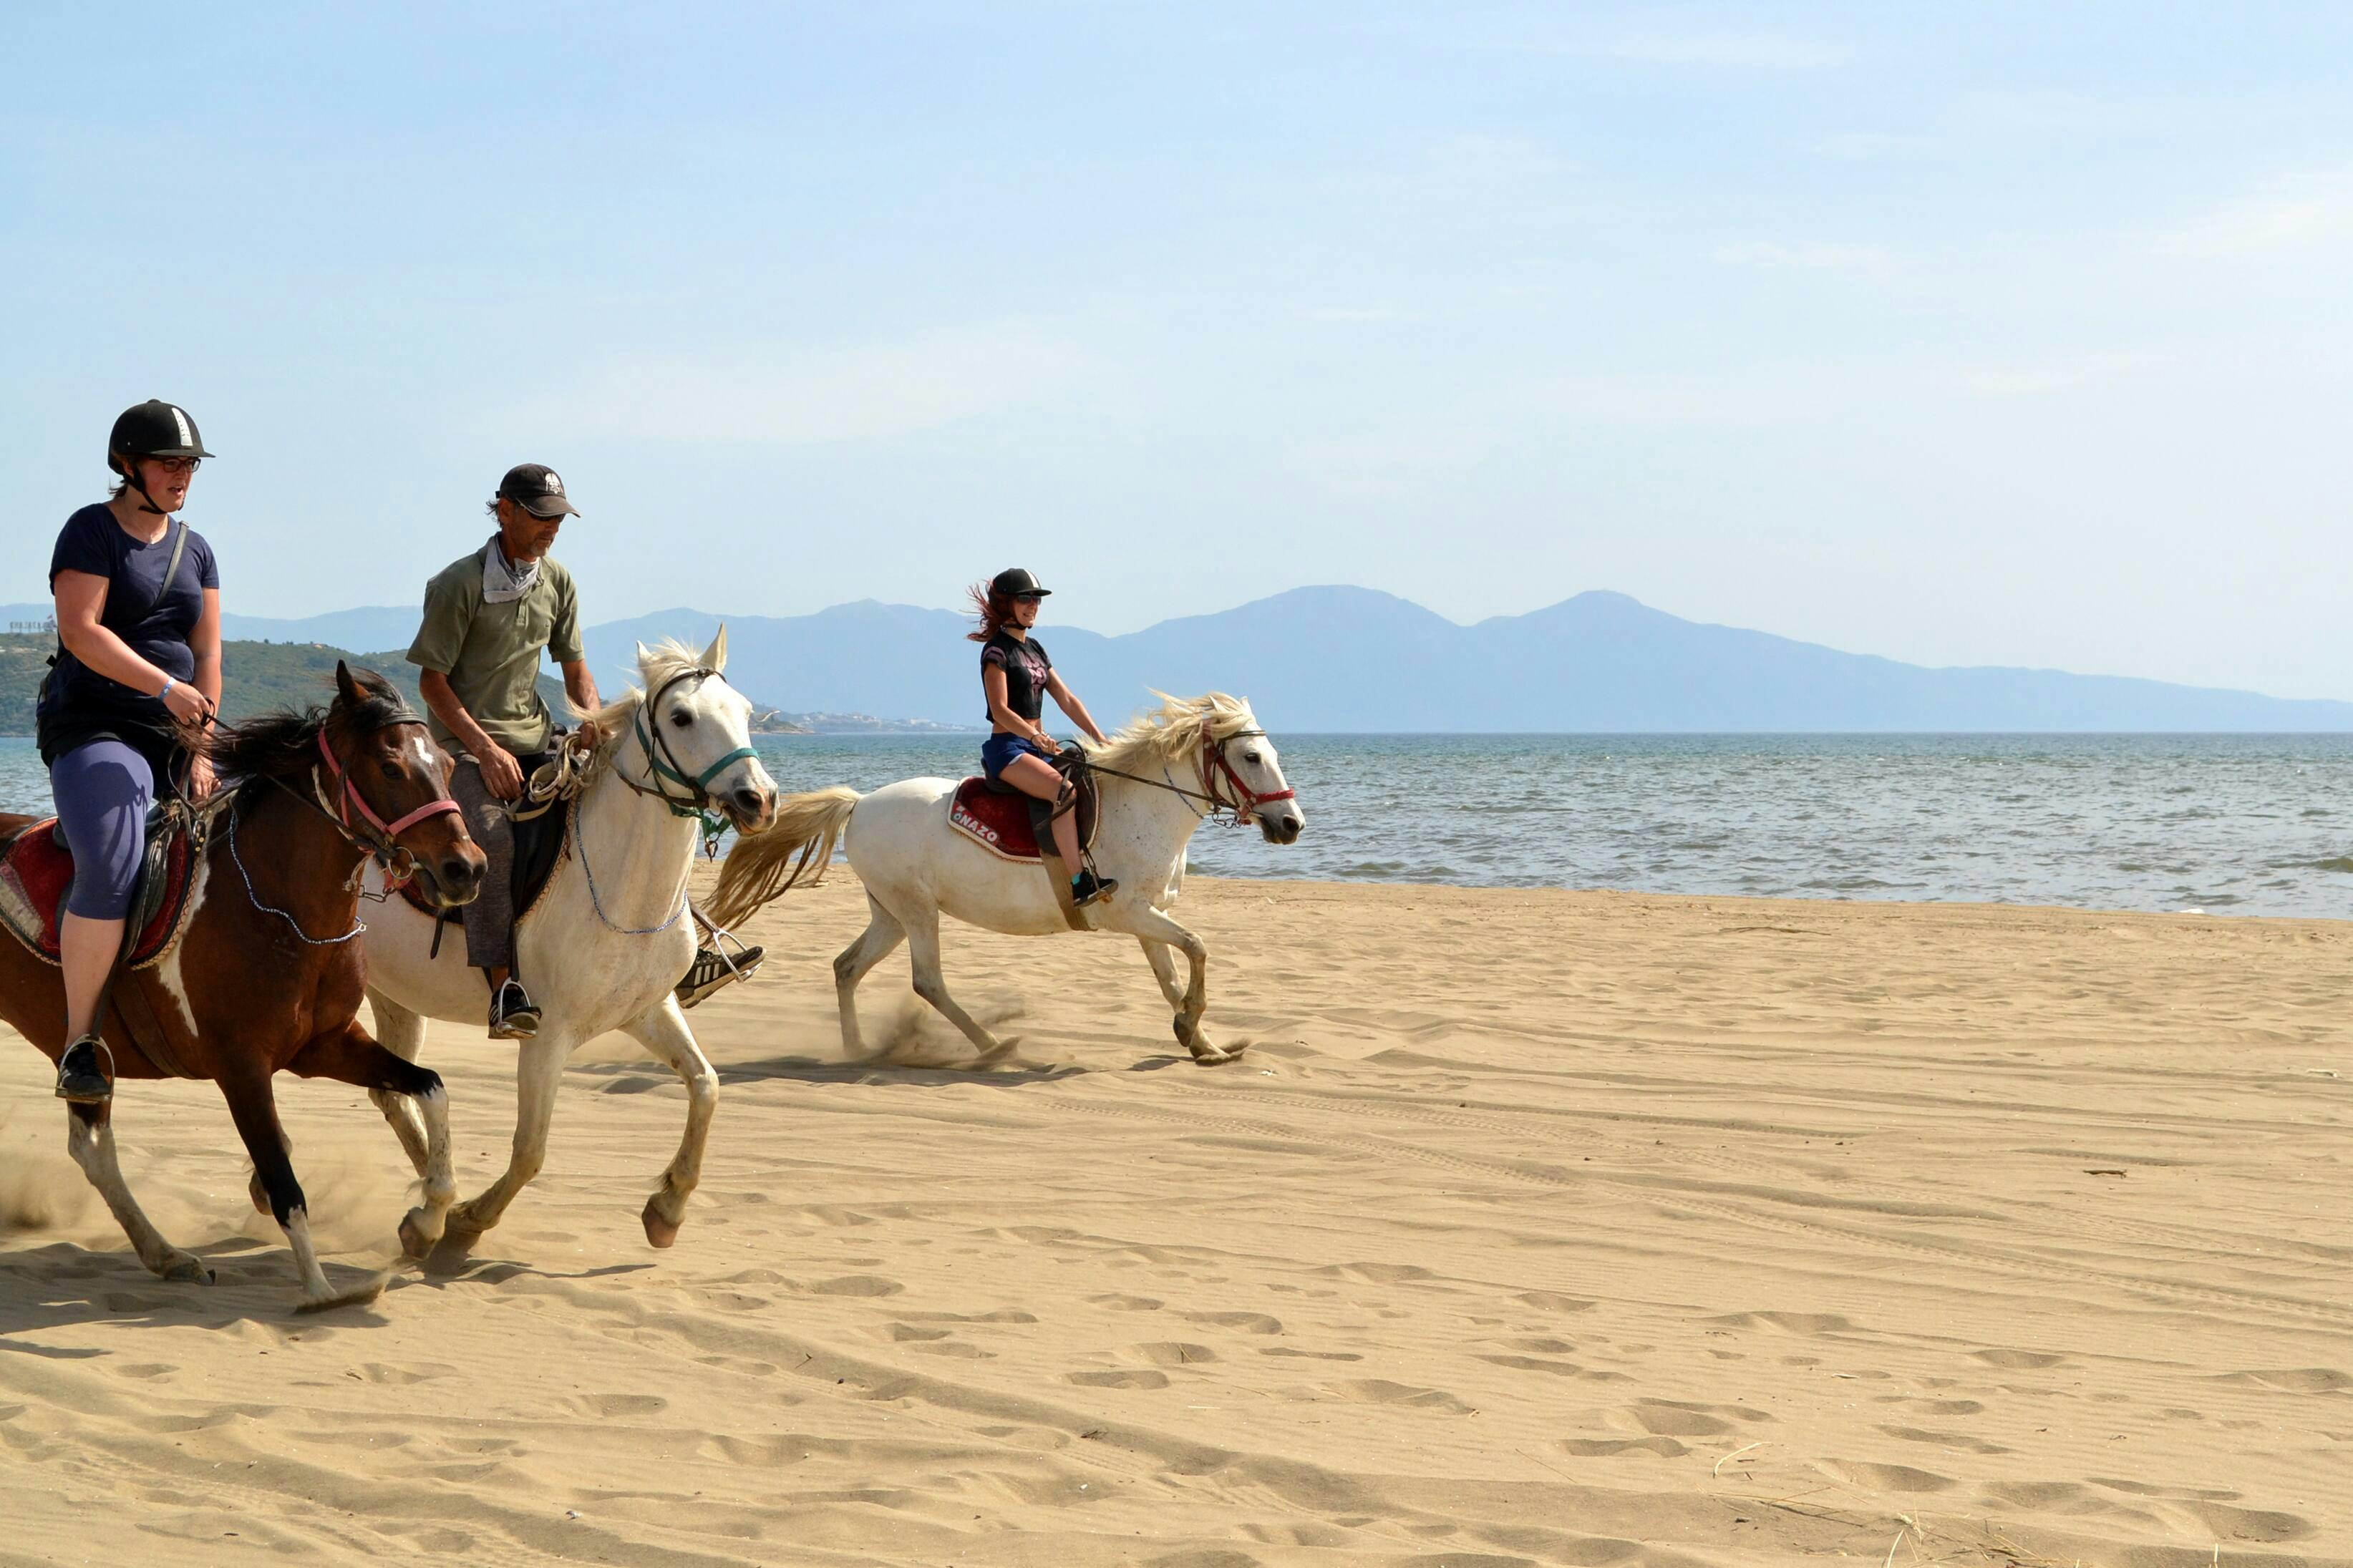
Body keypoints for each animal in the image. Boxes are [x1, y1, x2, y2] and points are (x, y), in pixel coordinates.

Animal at [0, 667, 485, 1316]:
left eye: (448, 766)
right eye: (389, 767)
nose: (467, 868)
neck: (281, 908)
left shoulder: (327, 1045)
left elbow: (430, 1088)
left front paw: (427, 1218)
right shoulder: (241, 1067)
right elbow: (285, 1183)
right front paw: (320, 1291)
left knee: (92, 1147)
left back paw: (167, 1255)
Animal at [357, 634, 776, 1250]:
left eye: (745, 711)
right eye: (681, 716)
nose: (759, 800)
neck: (622, 888)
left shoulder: (649, 1009)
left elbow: (706, 1085)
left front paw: (667, 1208)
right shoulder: (546, 1038)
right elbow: (530, 1150)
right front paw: (471, 1218)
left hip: (394, 996)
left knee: (389, 1091)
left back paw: (428, 1198)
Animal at [706, 696, 1317, 1067]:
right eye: (1252, 755)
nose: (1292, 824)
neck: (1144, 806)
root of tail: (858, 805)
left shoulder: (1147, 919)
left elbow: (1174, 973)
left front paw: (1202, 1043)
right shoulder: (1129, 913)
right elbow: (1198, 947)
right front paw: (1193, 1027)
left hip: (890, 914)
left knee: (847, 966)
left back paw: (858, 1049)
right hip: (916, 910)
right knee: (927, 982)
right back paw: (995, 1045)